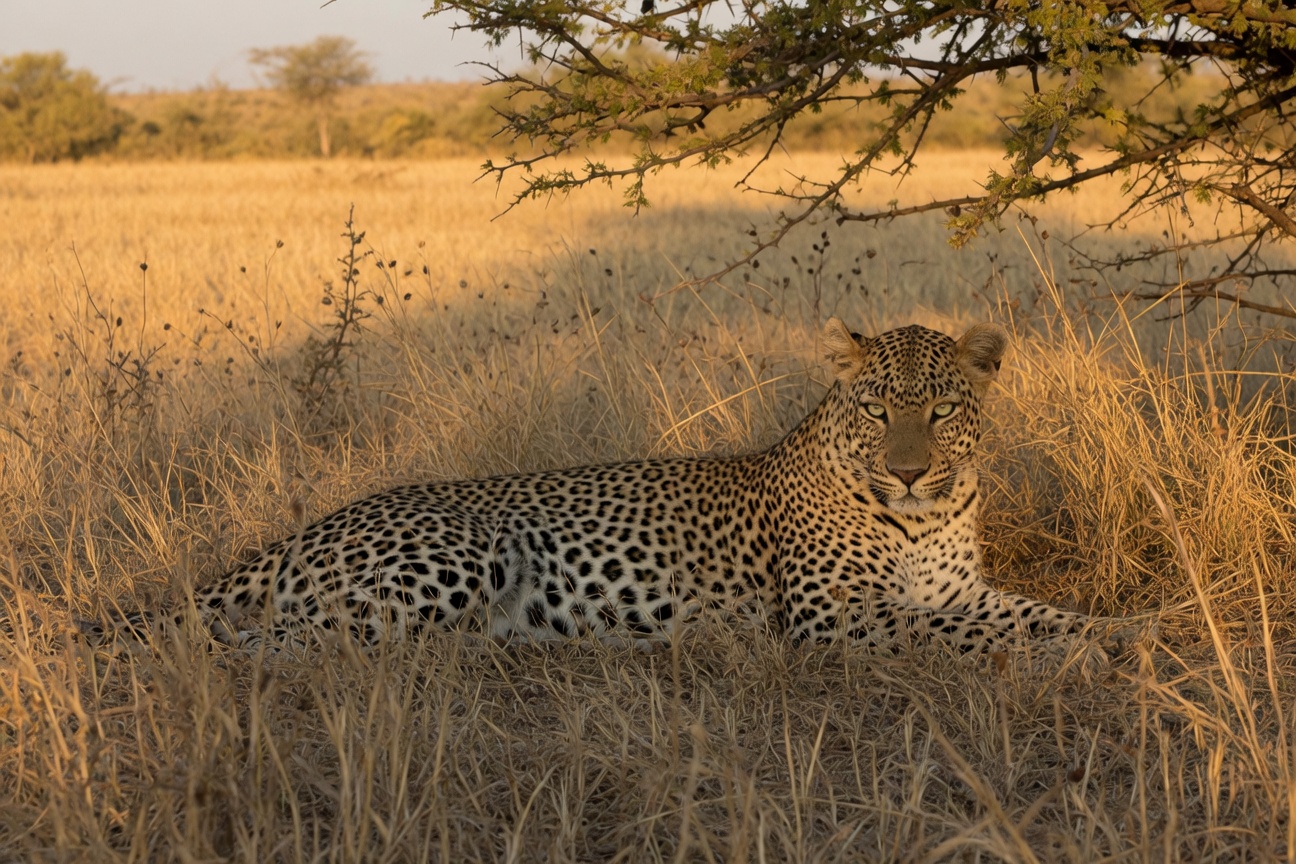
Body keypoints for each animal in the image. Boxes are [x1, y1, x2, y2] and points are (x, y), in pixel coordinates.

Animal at [91, 319, 1108, 654]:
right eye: (876, 408)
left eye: (940, 410)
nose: (908, 468)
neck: (925, 516)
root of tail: (309, 529)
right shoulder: (839, 617)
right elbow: (963, 634)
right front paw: (1078, 654)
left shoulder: (961, 585)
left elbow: (1027, 613)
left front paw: (1121, 634)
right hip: (449, 558)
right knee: (263, 643)